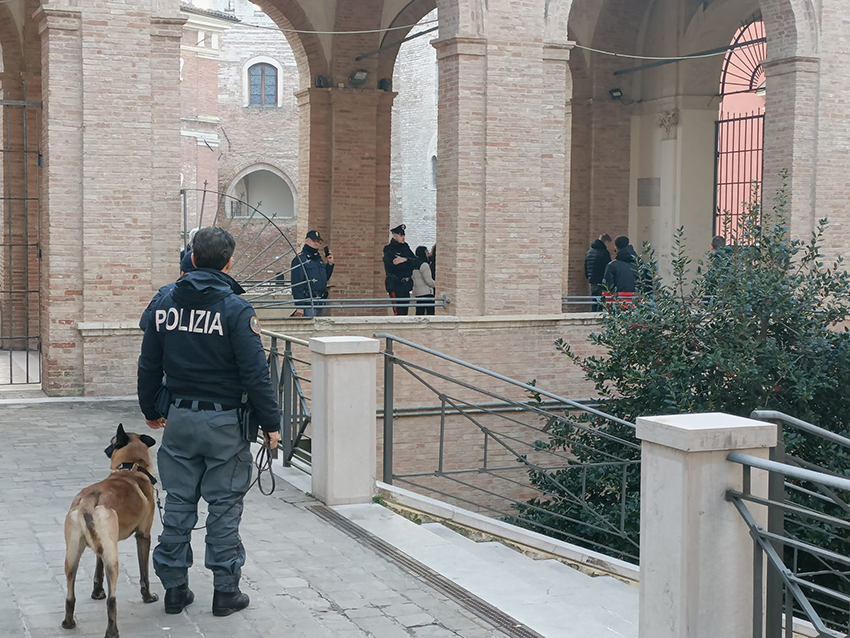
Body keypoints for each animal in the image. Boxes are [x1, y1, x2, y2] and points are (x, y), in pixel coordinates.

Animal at [62, 424, 160, 638]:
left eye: (111, 441)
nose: (106, 449)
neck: (131, 468)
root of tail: (88, 501)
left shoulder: (102, 548)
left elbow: (97, 570)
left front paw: (97, 592)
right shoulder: (143, 536)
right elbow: (144, 575)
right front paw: (148, 596)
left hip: (73, 555)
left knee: (70, 593)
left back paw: (68, 622)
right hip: (113, 559)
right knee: (112, 600)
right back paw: (112, 631)